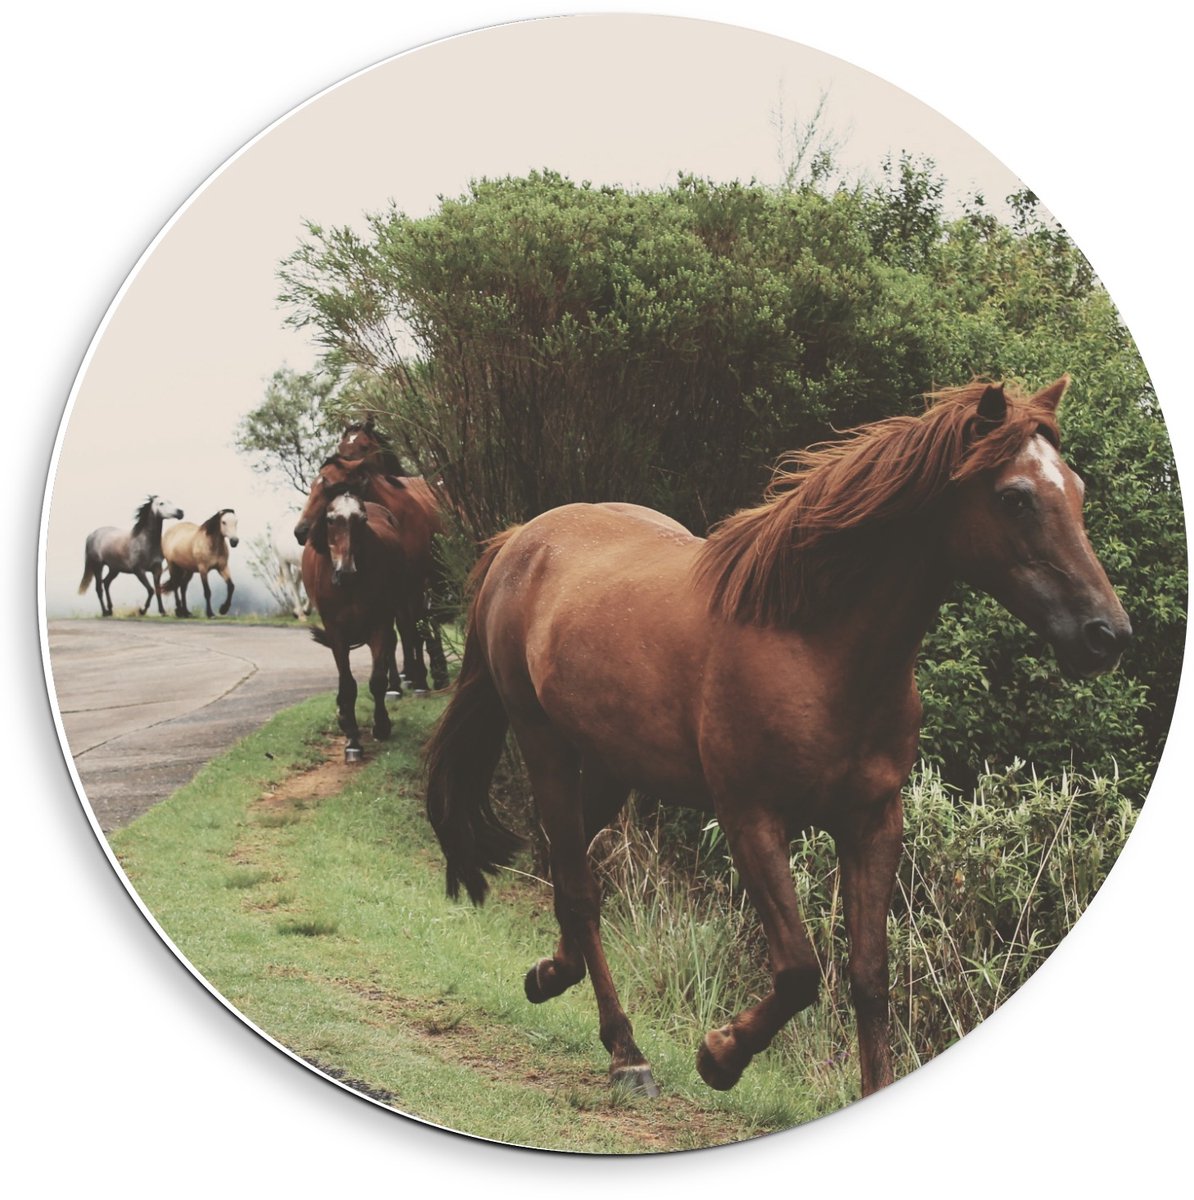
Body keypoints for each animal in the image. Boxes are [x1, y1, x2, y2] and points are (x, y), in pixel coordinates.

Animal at [294, 455, 449, 692]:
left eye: (330, 485)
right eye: (312, 486)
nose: (301, 531)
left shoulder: (415, 584)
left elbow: (415, 628)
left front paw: (422, 679)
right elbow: (398, 633)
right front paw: (397, 683)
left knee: (428, 621)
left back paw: (436, 673)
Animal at [302, 490, 407, 757]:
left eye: (362, 520)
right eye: (330, 520)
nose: (345, 571)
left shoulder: (380, 623)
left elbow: (377, 680)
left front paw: (381, 726)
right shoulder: (336, 631)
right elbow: (347, 683)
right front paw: (351, 737)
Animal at [423, 377, 1131, 1100]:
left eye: (1076, 489)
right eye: (1015, 497)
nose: (1107, 634)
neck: (813, 645)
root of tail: (523, 539)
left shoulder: (874, 822)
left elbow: (869, 978)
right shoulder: (752, 818)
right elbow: (798, 970)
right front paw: (719, 1055)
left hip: (612, 765)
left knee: (563, 866)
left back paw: (550, 976)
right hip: (546, 747)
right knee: (580, 887)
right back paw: (626, 1052)